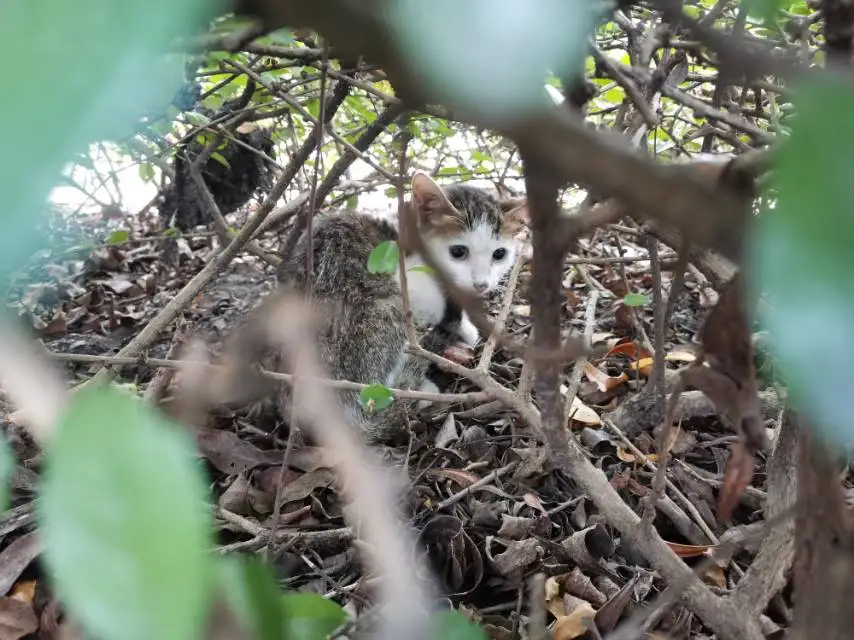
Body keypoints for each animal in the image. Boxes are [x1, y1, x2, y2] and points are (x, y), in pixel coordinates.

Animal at [274, 172, 528, 442]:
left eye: (499, 254)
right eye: (458, 251)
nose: (481, 284)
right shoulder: (408, 274)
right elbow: (435, 302)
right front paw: (464, 327)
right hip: (385, 307)